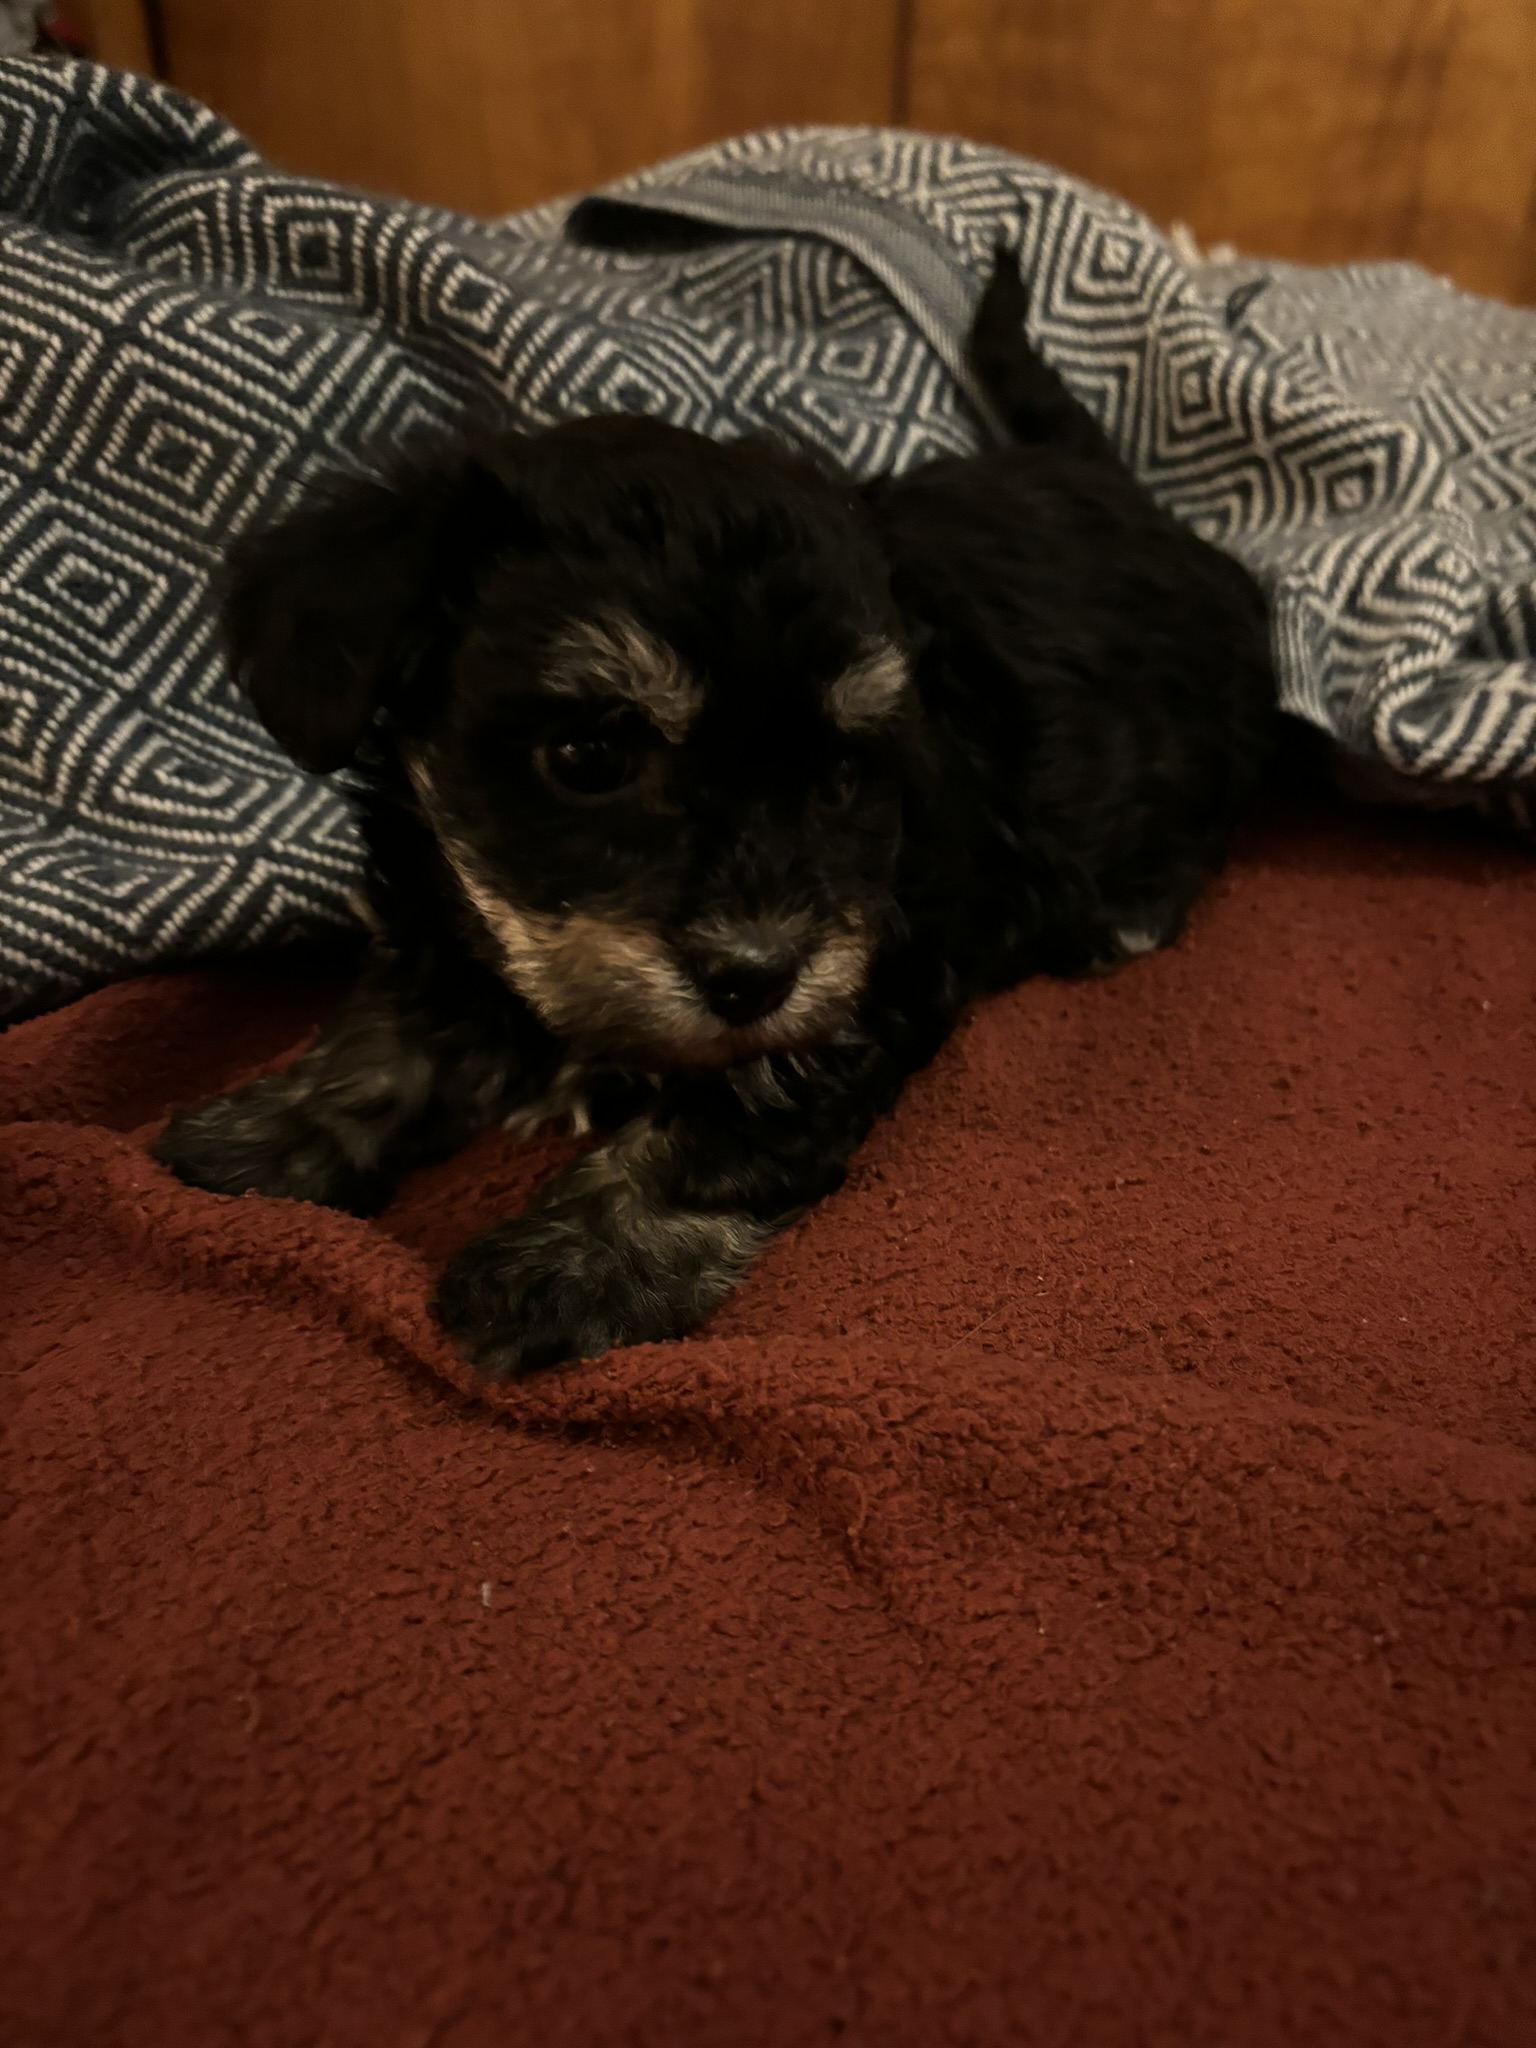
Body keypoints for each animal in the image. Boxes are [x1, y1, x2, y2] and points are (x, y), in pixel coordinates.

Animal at [153, 256, 1277, 1376]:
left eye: (840, 780)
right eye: (591, 756)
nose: (754, 974)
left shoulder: (868, 977)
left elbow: (728, 1115)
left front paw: (576, 1264)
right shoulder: (438, 919)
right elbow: (388, 1027)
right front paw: (268, 1131)